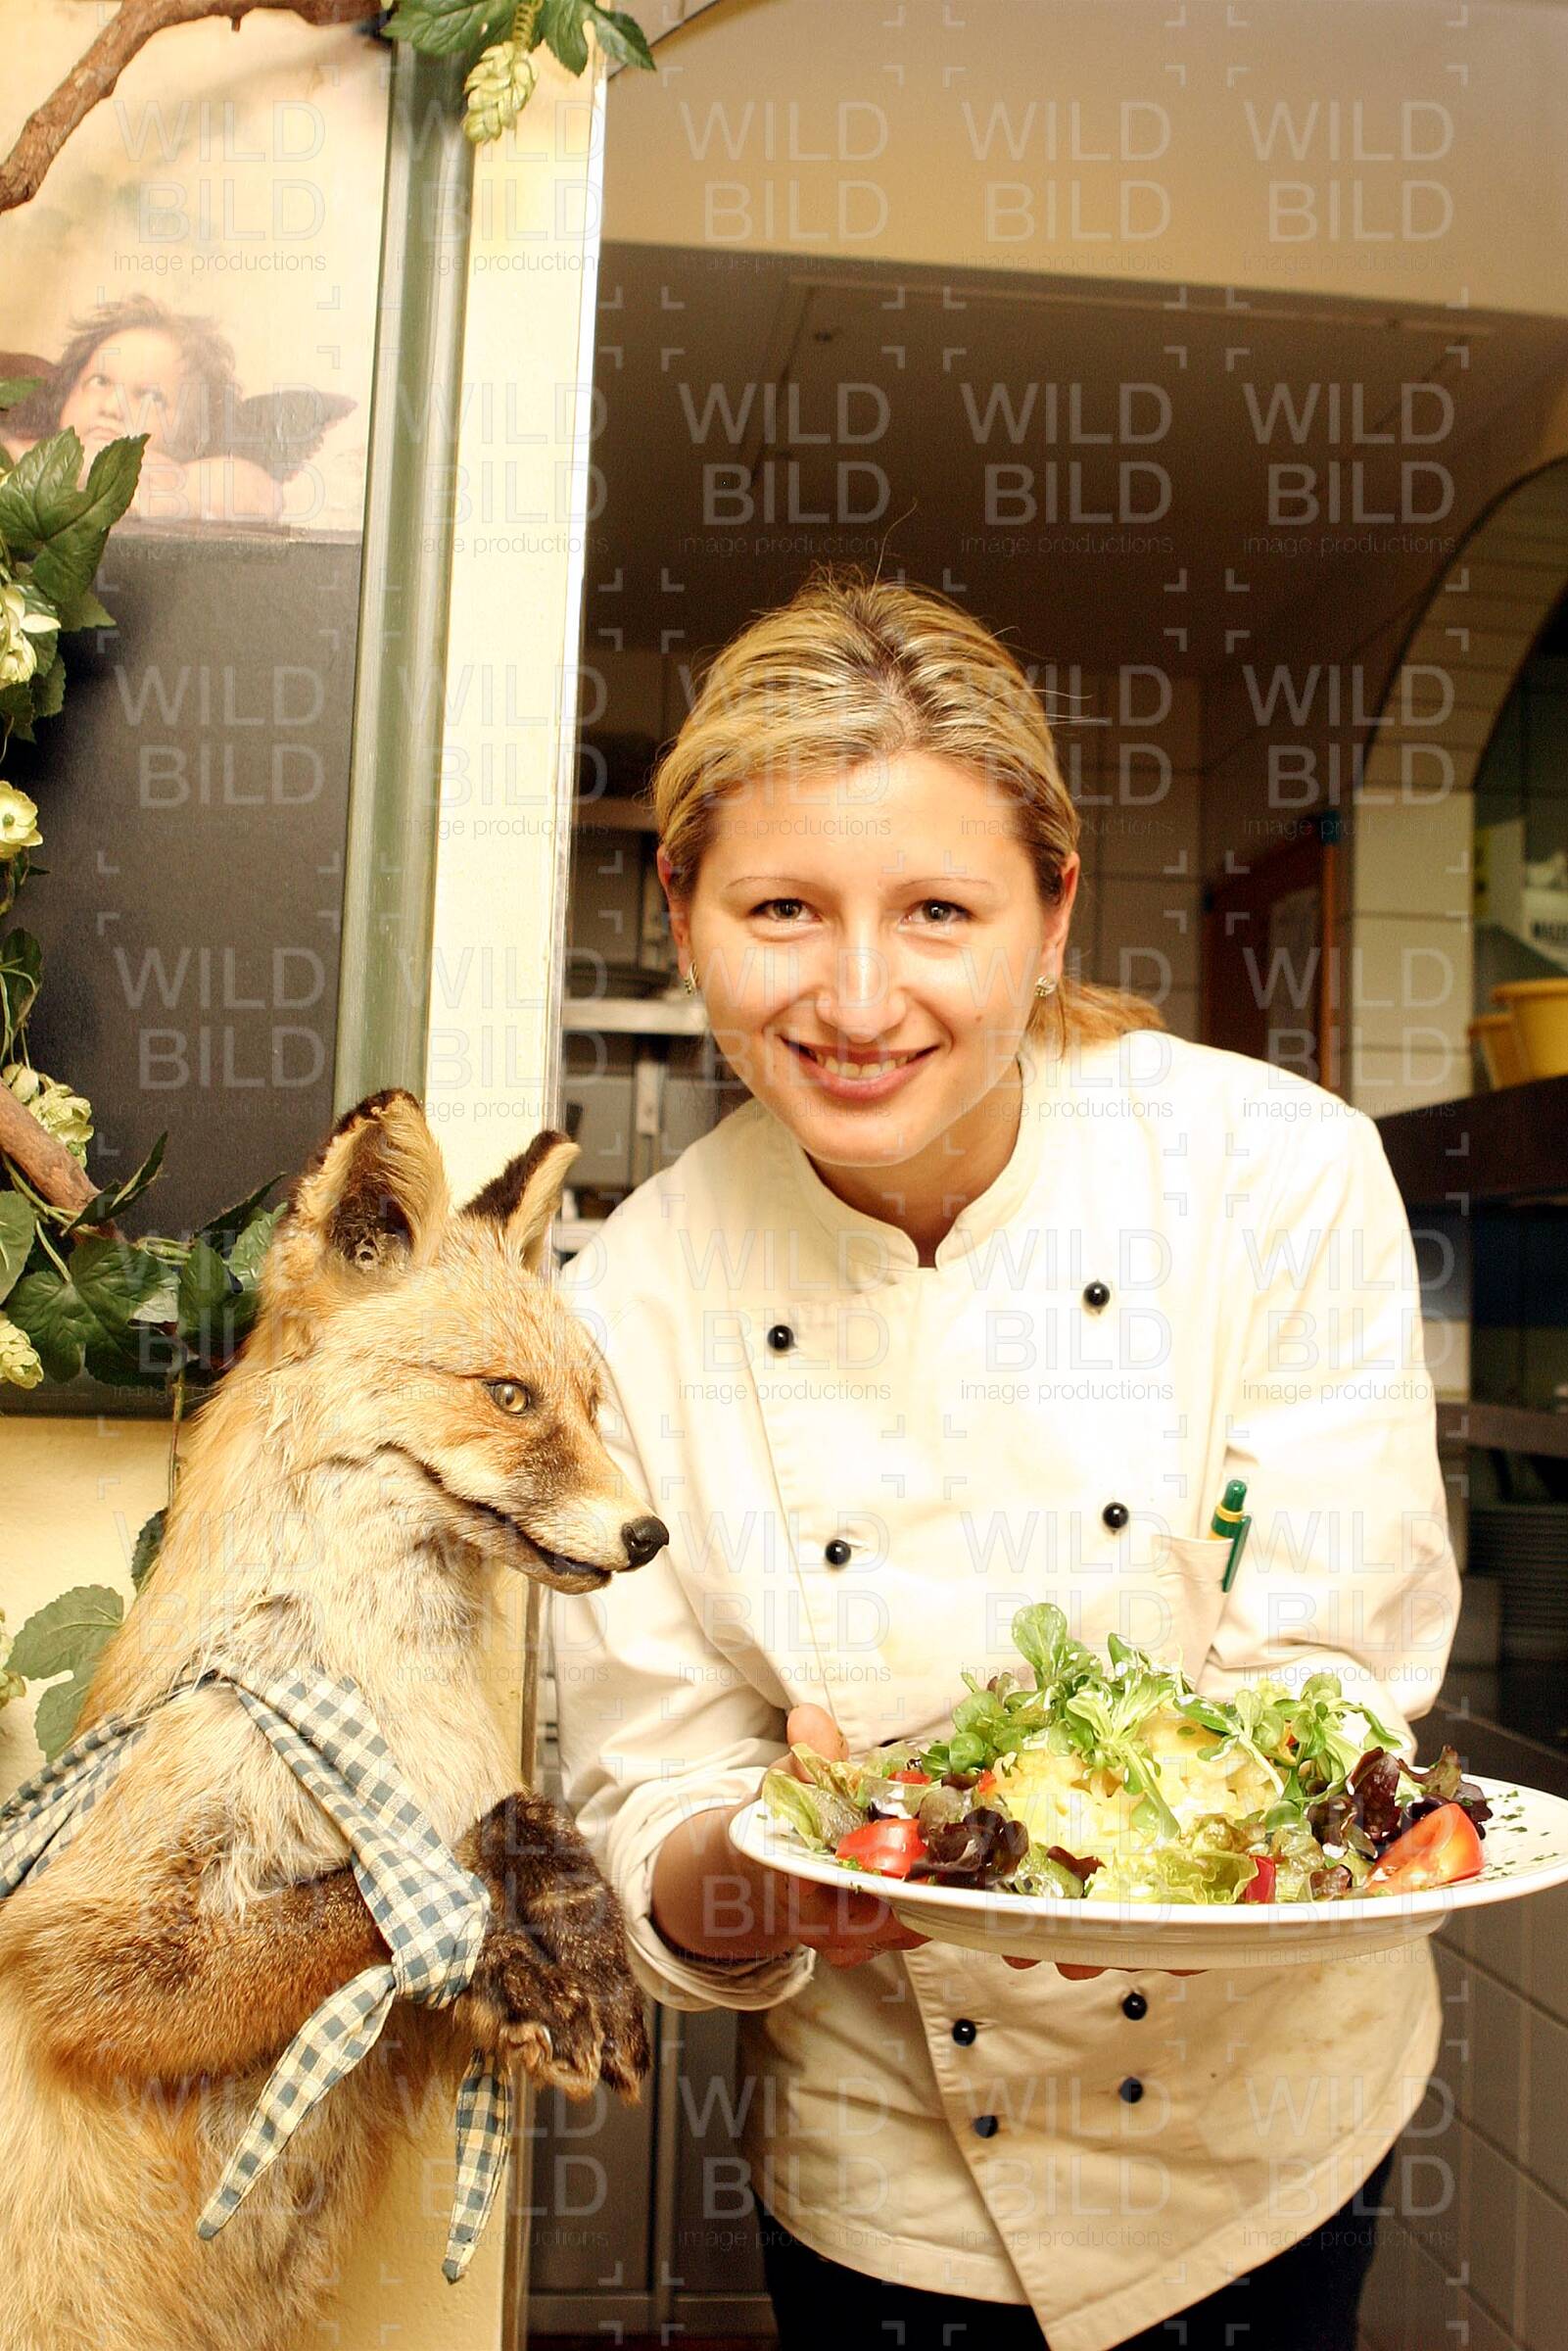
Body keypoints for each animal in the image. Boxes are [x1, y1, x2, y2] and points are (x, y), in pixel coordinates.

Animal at [0, 1087, 664, 2351]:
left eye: (592, 1406)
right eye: (510, 1397)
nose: (650, 1536)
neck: (388, 1696)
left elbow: (529, 1820)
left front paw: (584, 1939)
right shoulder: (84, 1938)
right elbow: (380, 1888)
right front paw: (501, 1936)